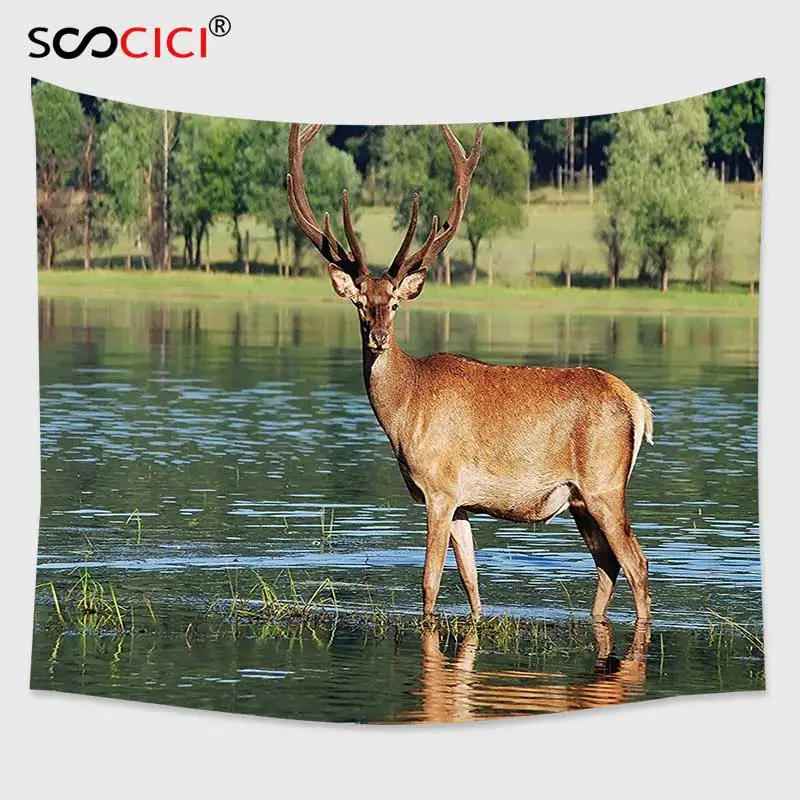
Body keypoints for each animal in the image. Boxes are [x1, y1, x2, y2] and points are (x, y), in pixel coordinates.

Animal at [286, 122, 654, 624]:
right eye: (361, 304)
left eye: (394, 303)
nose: (378, 337)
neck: (405, 411)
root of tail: (637, 404)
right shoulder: (462, 503)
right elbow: (472, 582)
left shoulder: (440, 489)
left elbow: (429, 582)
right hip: (581, 499)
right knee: (608, 565)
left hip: (605, 485)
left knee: (637, 563)